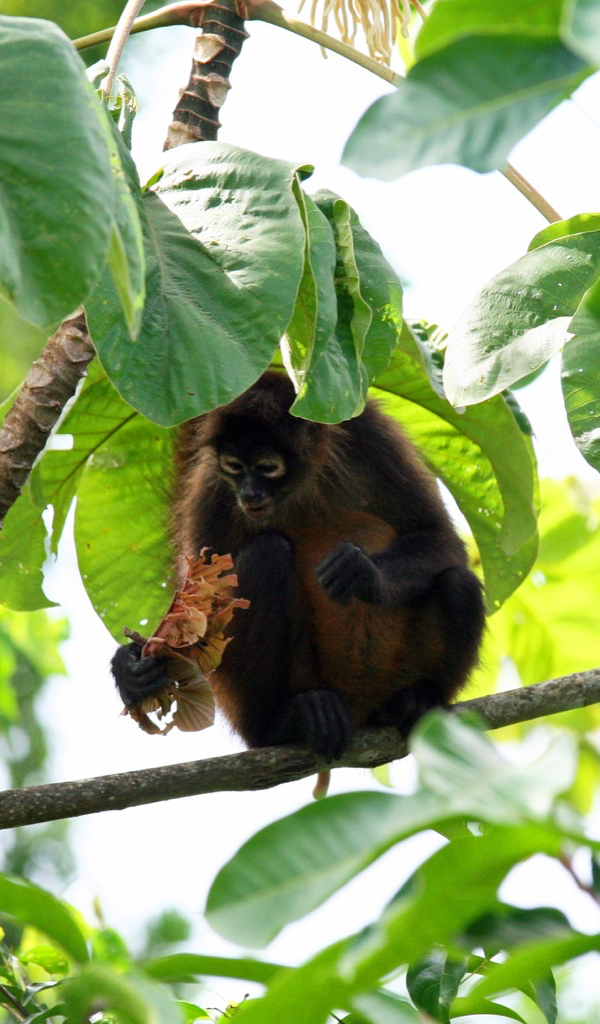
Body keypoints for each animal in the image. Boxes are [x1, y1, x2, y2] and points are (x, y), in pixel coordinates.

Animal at [112, 371, 485, 762]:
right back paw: (282, 723)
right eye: (234, 466)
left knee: (458, 583)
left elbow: (439, 537)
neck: (299, 489)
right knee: (267, 553)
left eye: (267, 468)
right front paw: (131, 668)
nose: (249, 495)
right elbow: (201, 602)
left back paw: (416, 702)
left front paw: (362, 572)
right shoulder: (214, 484)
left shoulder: (370, 435)